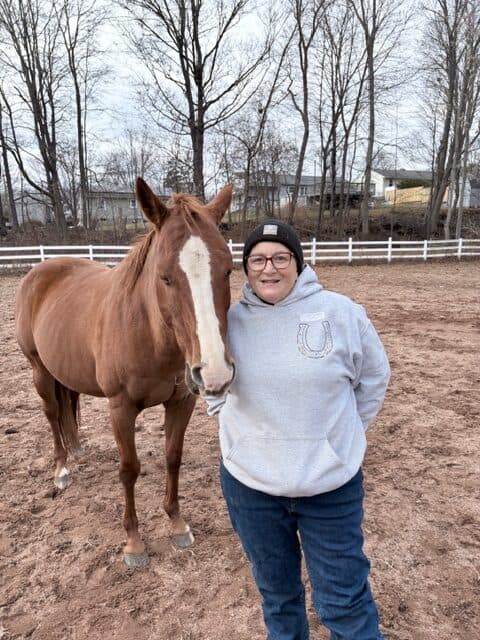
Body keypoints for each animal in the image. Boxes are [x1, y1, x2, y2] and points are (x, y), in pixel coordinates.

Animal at [15, 178, 235, 567]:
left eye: (228, 269)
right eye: (165, 277)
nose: (214, 373)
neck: (148, 332)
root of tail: (42, 269)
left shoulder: (181, 403)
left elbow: (172, 457)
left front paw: (177, 524)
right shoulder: (120, 408)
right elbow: (129, 469)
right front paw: (134, 542)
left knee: (68, 405)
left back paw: (77, 449)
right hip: (39, 370)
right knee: (52, 413)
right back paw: (61, 470)